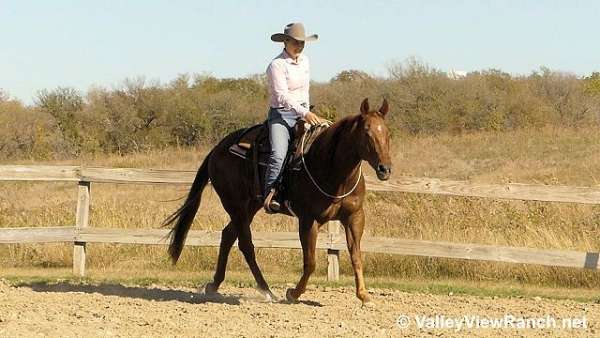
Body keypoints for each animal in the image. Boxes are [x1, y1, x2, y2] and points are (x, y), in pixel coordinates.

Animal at [164, 97, 392, 304]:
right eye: (367, 133)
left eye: (388, 134)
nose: (385, 169)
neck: (331, 168)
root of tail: (217, 149)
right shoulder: (308, 220)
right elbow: (310, 262)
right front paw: (293, 293)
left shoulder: (355, 217)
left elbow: (356, 256)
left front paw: (364, 295)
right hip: (235, 204)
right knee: (245, 244)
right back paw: (266, 290)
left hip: (250, 206)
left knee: (228, 235)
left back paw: (215, 285)